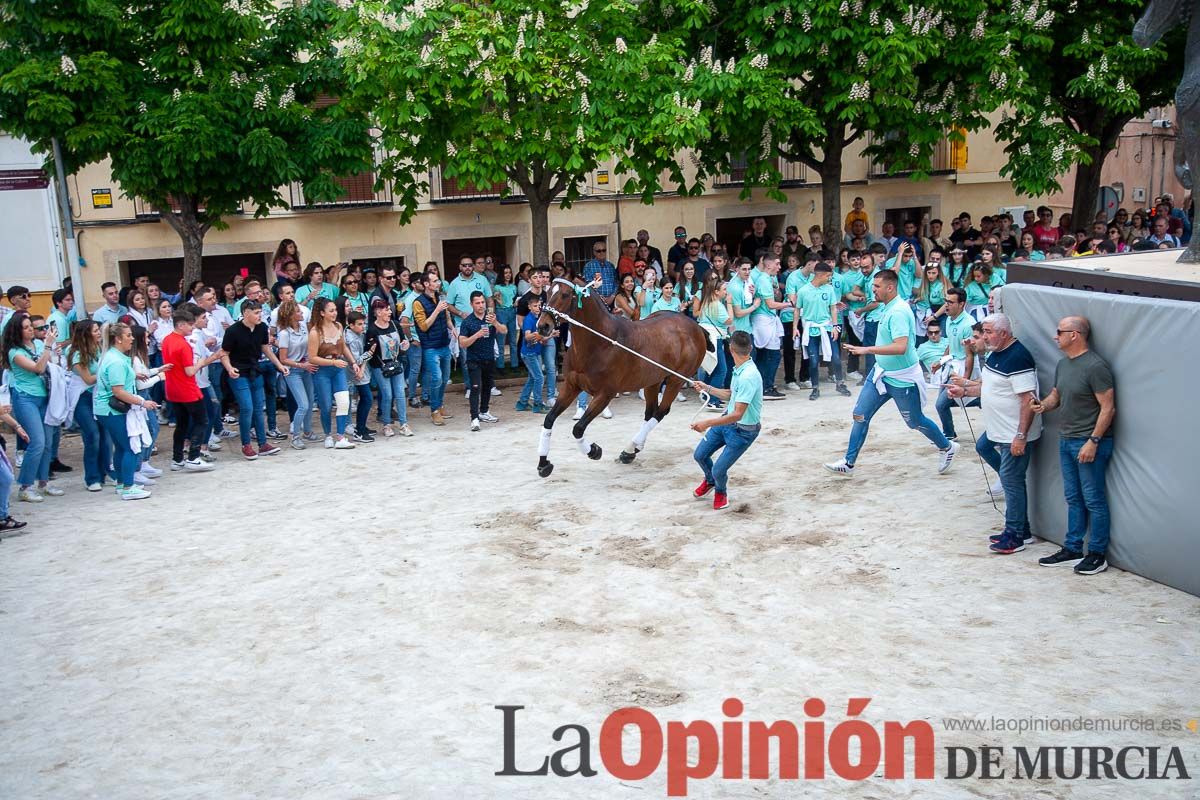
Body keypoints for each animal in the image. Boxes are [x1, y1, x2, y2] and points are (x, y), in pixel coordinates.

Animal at [535, 278, 710, 474]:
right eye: (548, 292)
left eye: (565, 295)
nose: (543, 326)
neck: (601, 341)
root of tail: (695, 326)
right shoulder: (571, 387)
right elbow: (549, 420)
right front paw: (544, 464)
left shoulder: (605, 394)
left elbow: (578, 429)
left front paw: (594, 451)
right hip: (652, 381)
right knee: (650, 413)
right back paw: (632, 450)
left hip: (676, 379)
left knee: (661, 412)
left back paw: (630, 448)